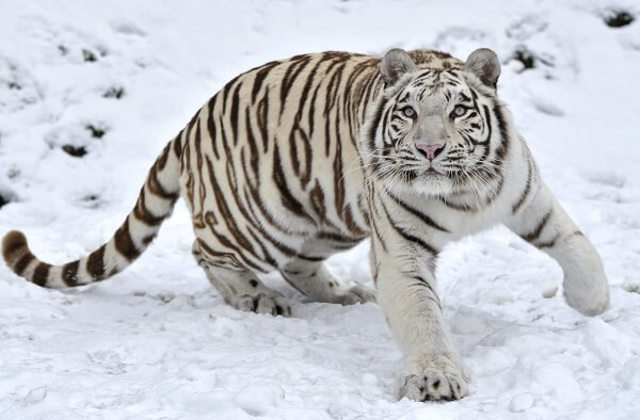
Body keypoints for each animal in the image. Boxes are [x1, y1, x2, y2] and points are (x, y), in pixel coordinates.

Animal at [1, 47, 610, 402]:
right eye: (409, 113)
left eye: (459, 110)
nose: (430, 149)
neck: (460, 192)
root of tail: (191, 122)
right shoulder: (401, 250)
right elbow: (423, 318)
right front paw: (435, 378)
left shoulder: (527, 196)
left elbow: (577, 244)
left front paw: (592, 303)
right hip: (254, 218)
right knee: (207, 252)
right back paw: (258, 298)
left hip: (326, 216)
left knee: (298, 263)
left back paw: (343, 294)